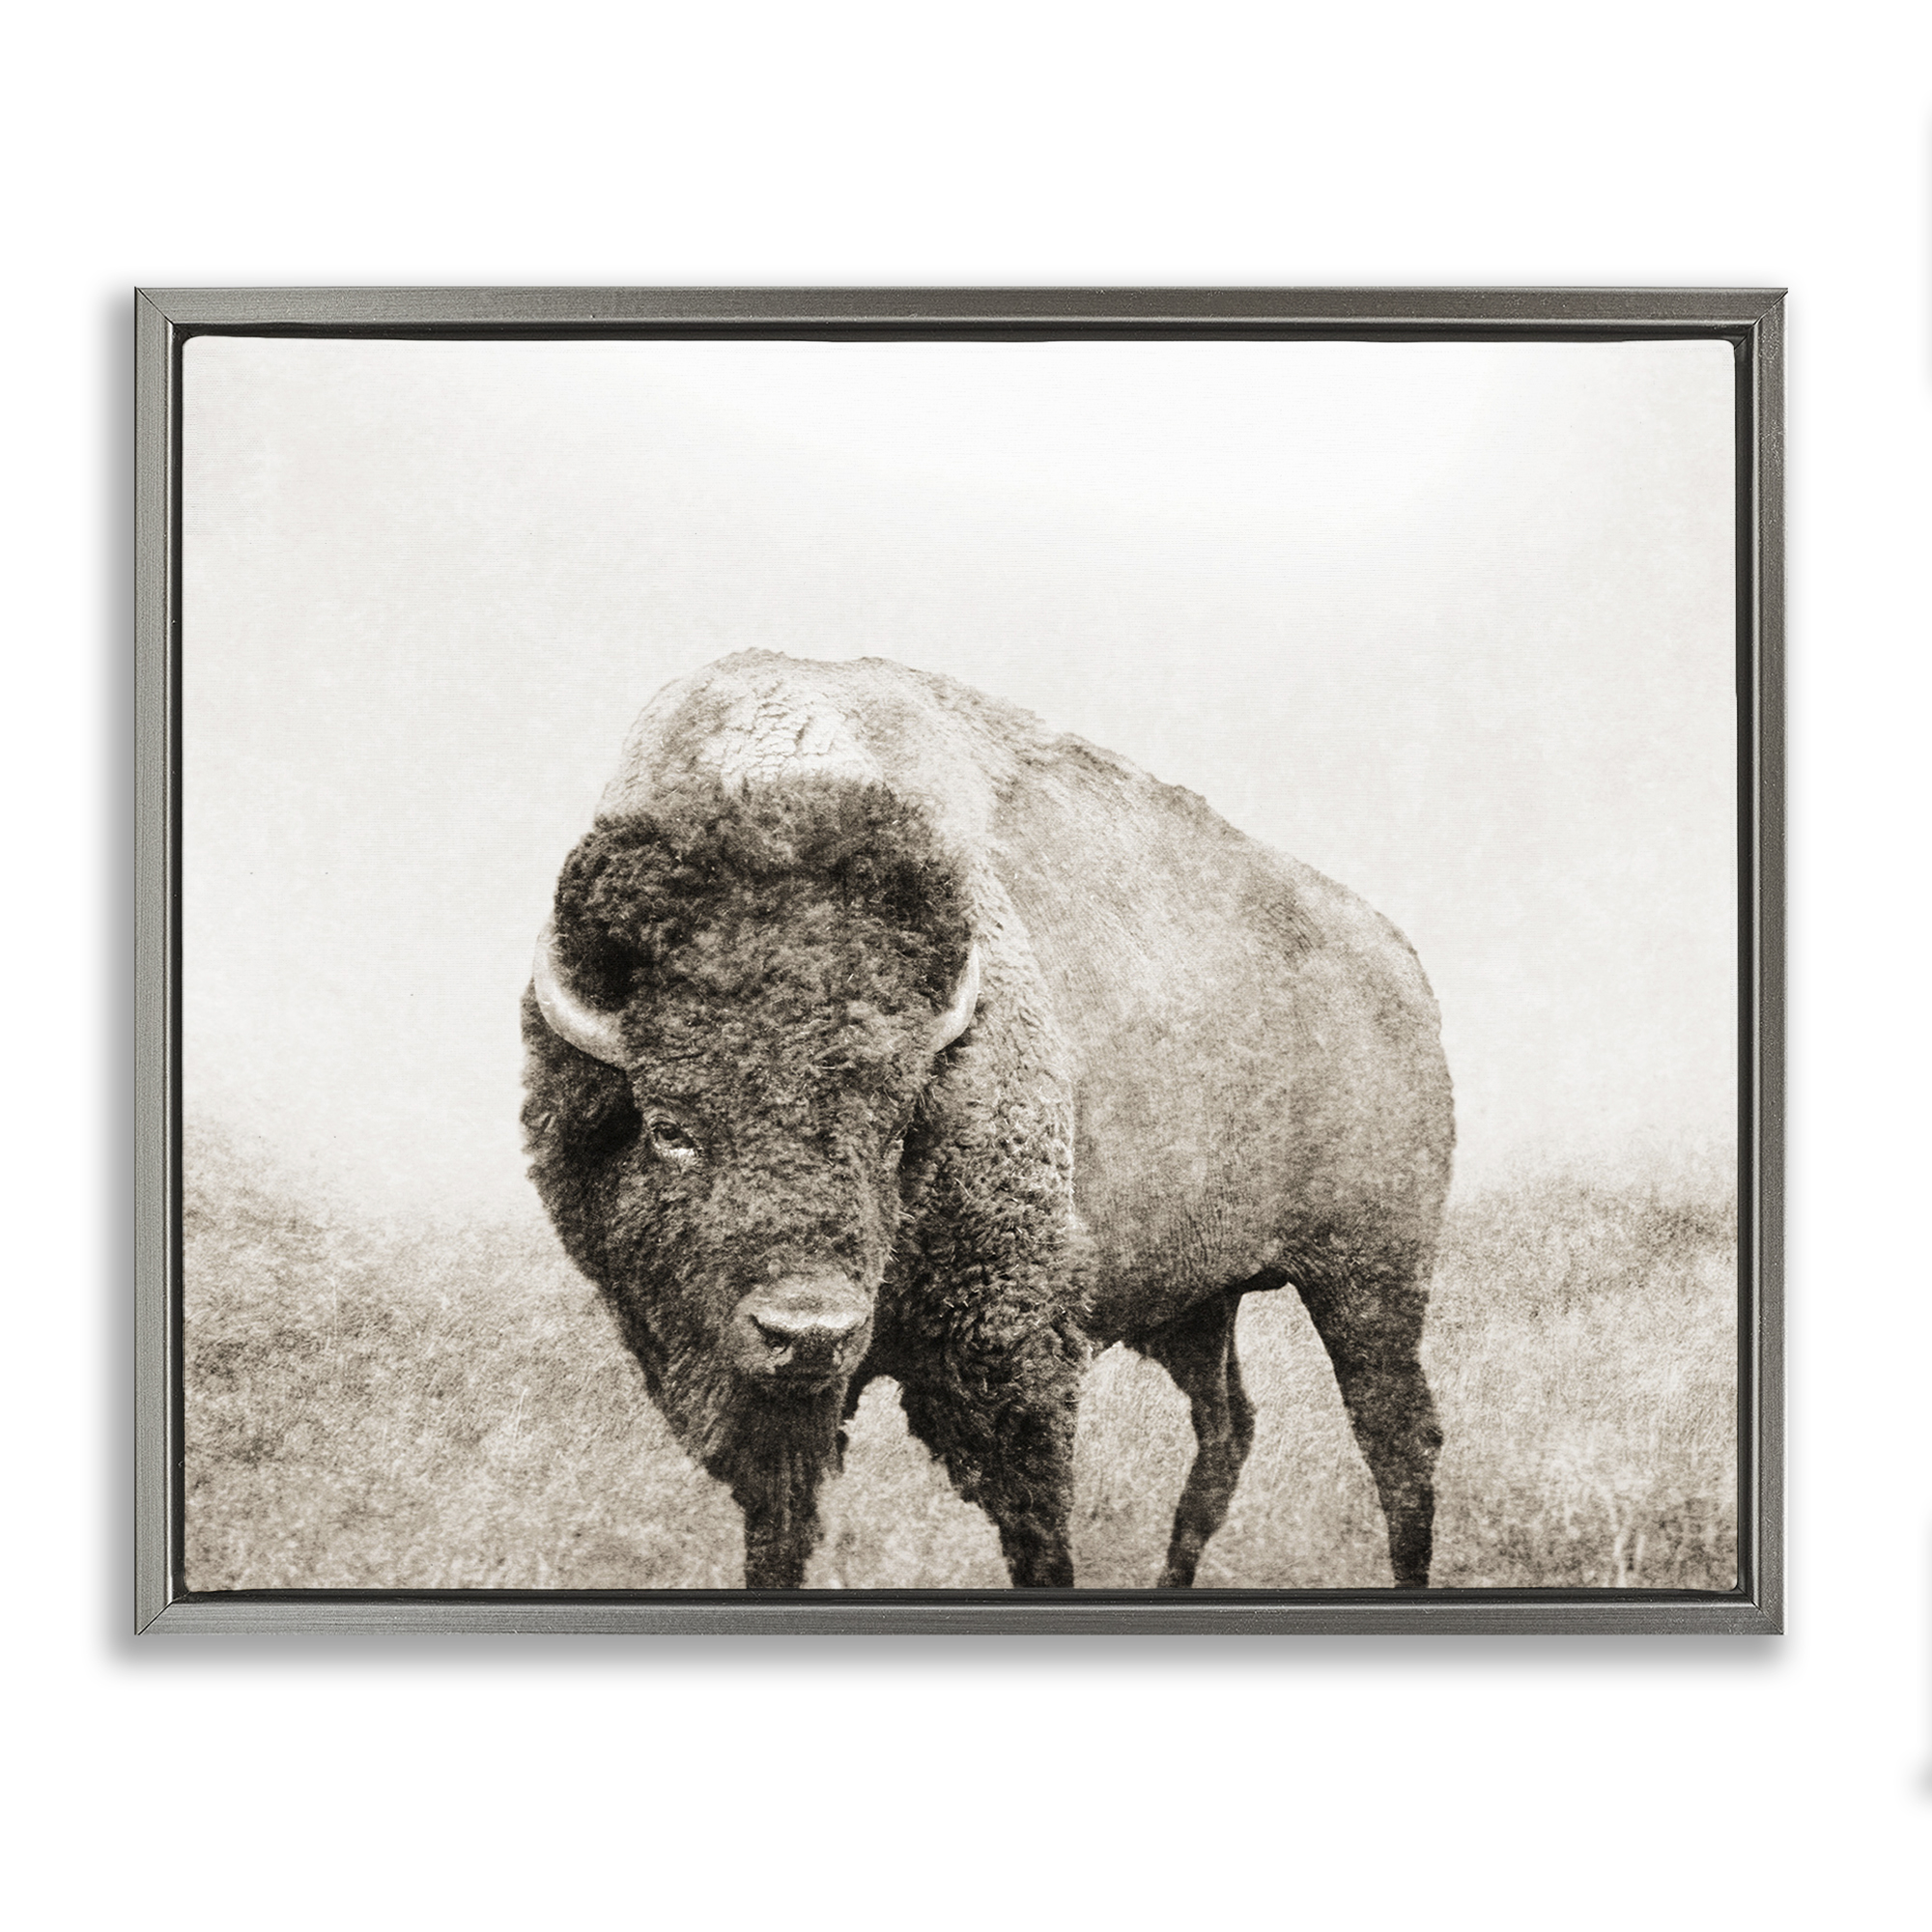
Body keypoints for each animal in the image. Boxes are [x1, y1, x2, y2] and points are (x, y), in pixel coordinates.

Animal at [522, 652, 1453, 1589]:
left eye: (896, 1130)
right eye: (669, 1128)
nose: (810, 1332)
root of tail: (1401, 961)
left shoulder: (1011, 1351)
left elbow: (1037, 1527)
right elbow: (777, 1531)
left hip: (1369, 1277)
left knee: (1398, 1438)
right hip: (1203, 1302)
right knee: (1227, 1429)